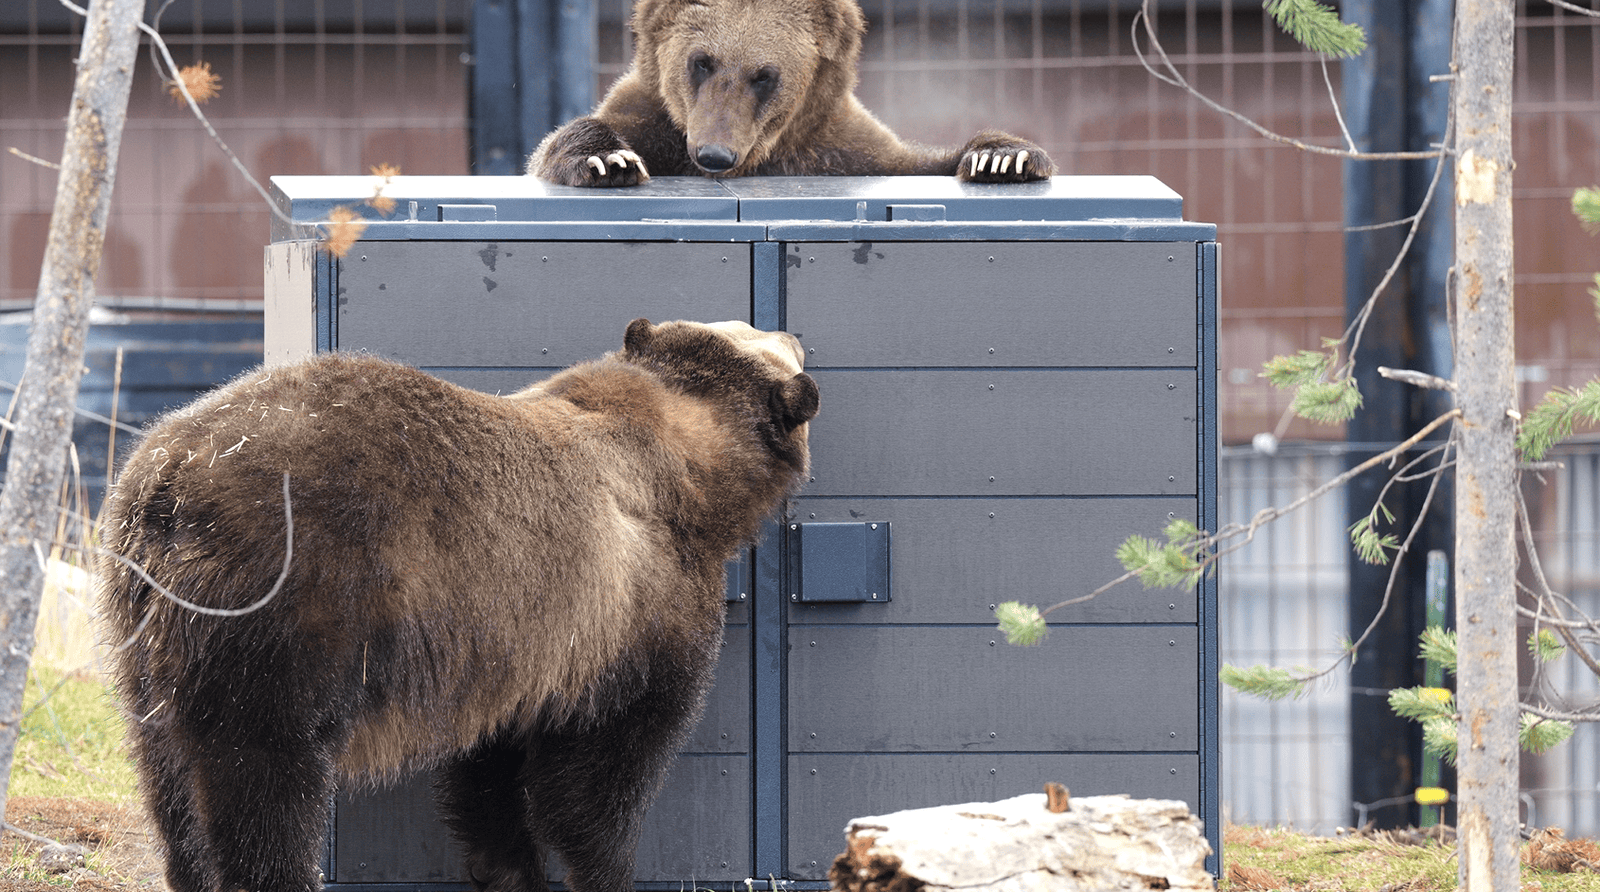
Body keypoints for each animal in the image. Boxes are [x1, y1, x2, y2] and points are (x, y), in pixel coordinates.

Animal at [97, 319, 818, 892]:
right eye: (769, 335)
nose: (796, 334)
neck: (693, 469)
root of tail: (171, 477)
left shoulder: (517, 648)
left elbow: (490, 779)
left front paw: (510, 870)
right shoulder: (629, 612)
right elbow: (597, 775)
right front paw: (603, 869)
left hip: (145, 631)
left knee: (169, 779)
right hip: (289, 605)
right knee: (265, 777)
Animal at [526, 0, 1055, 186]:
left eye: (764, 75)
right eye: (702, 61)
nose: (714, 154)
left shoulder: (840, 151)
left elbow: (925, 161)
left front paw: (1002, 158)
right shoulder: (654, 125)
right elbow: (560, 143)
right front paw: (608, 161)